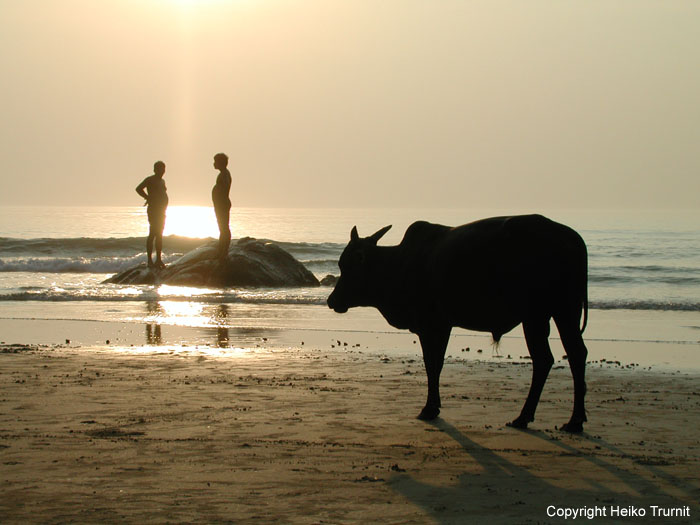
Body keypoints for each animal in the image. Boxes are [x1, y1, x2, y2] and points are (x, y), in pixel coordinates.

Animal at [326, 213, 588, 430]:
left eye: (347, 264)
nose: (332, 300)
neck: (399, 263)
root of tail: (572, 237)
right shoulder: (441, 326)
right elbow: (436, 364)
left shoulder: (432, 325)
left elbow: (432, 364)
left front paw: (429, 408)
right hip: (550, 315)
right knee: (552, 358)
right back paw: (534, 418)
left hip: (549, 313)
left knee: (565, 356)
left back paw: (568, 420)